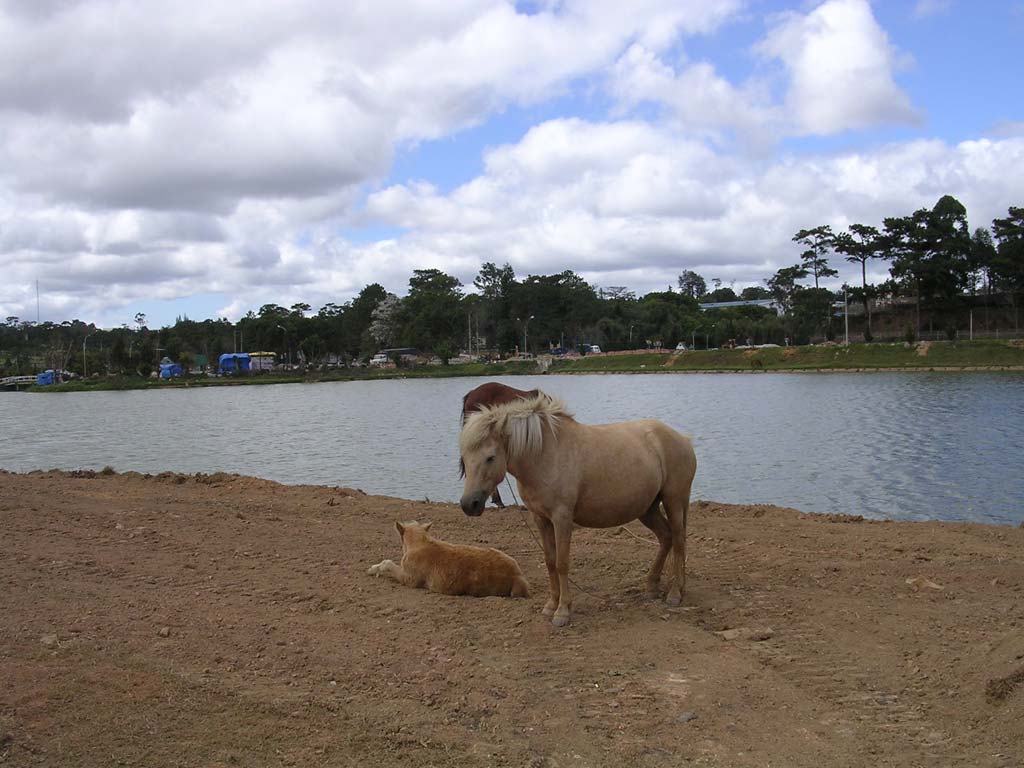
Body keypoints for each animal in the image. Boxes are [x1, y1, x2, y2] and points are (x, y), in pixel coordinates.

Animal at [459, 393, 697, 627]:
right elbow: (550, 562)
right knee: (666, 537)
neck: (545, 455)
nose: (469, 504)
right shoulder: (541, 519)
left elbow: (562, 563)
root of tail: (684, 440)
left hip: (674, 501)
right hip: (648, 509)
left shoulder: (562, 518)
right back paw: (652, 587)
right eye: (464, 457)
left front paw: (562, 612)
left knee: (678, 541)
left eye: (490, 457)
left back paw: (675, 594)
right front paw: (551, 605)